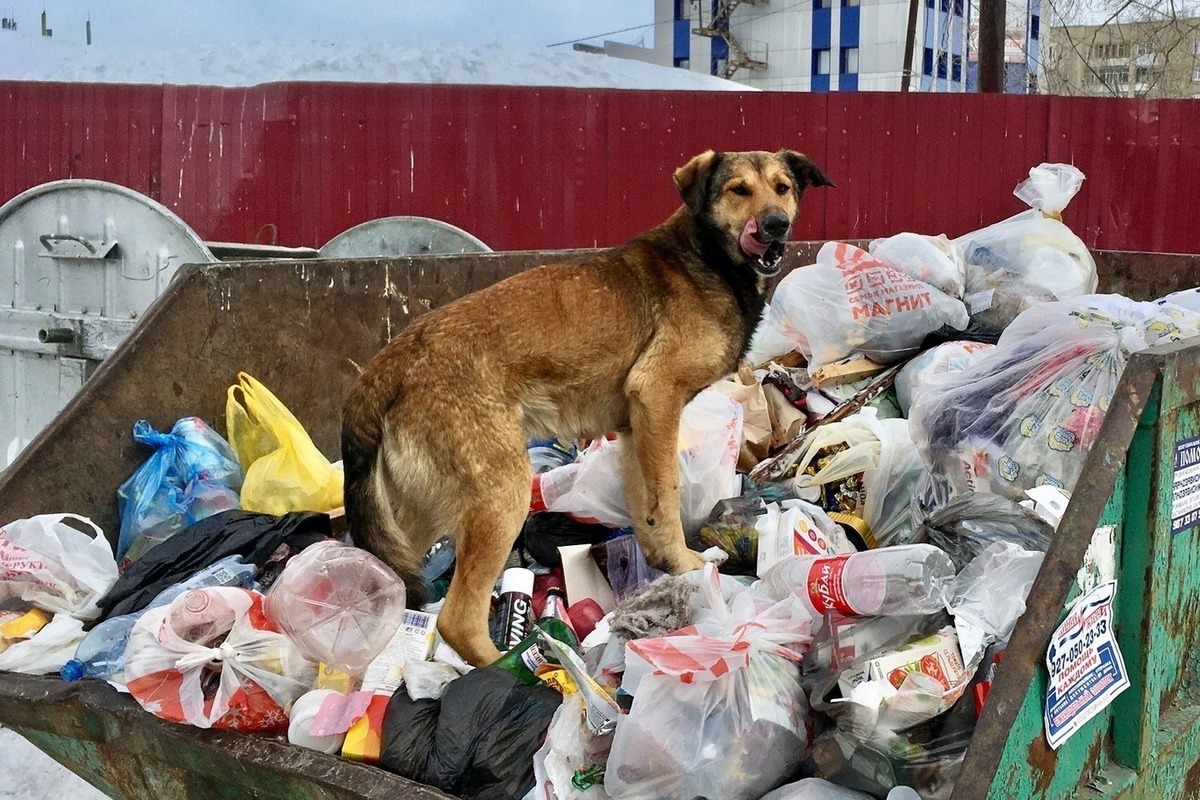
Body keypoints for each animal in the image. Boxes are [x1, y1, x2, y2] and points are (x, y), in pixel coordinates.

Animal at [345, 149, 835, 671]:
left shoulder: (636, 425)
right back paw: (522, 667)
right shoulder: (657, 395)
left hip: (412, 520)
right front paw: (686, 563)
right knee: (457, 618)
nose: (776, 225)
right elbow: (668, 494)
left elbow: (648, 507)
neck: (706, 257)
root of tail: (391, 361)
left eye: (783, 188)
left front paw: (664, 565)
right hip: (501, 495)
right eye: (738, 190)